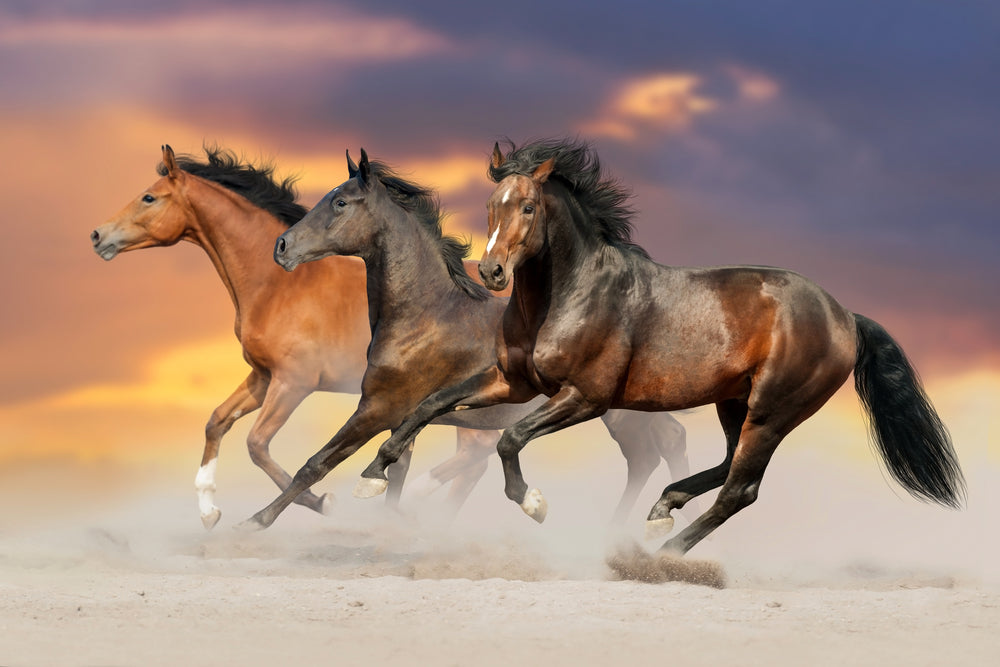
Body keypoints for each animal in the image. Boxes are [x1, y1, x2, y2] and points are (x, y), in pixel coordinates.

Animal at [240, 149, 690, 529]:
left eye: (340, 203)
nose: (282, 246)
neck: (423, 316)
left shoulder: (378, 408)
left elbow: (317, 463)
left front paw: (253, 523)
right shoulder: (401, 417)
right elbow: (393, 469)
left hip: (611, 408)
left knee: (652, 451)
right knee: (661, 446)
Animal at [358, 138, 965, 556]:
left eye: (528, 208)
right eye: (491, 204)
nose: (491, 272)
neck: (570, 292)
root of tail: (844, 316)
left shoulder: (585, 397)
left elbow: (509, 439)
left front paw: (534, 504)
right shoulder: (517, 381)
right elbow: (430, 403)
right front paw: (374, 474)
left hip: (772, 410)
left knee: (741, 489)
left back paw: (662, 551)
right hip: (735, 403)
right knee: (726, 466)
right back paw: (661, 510)